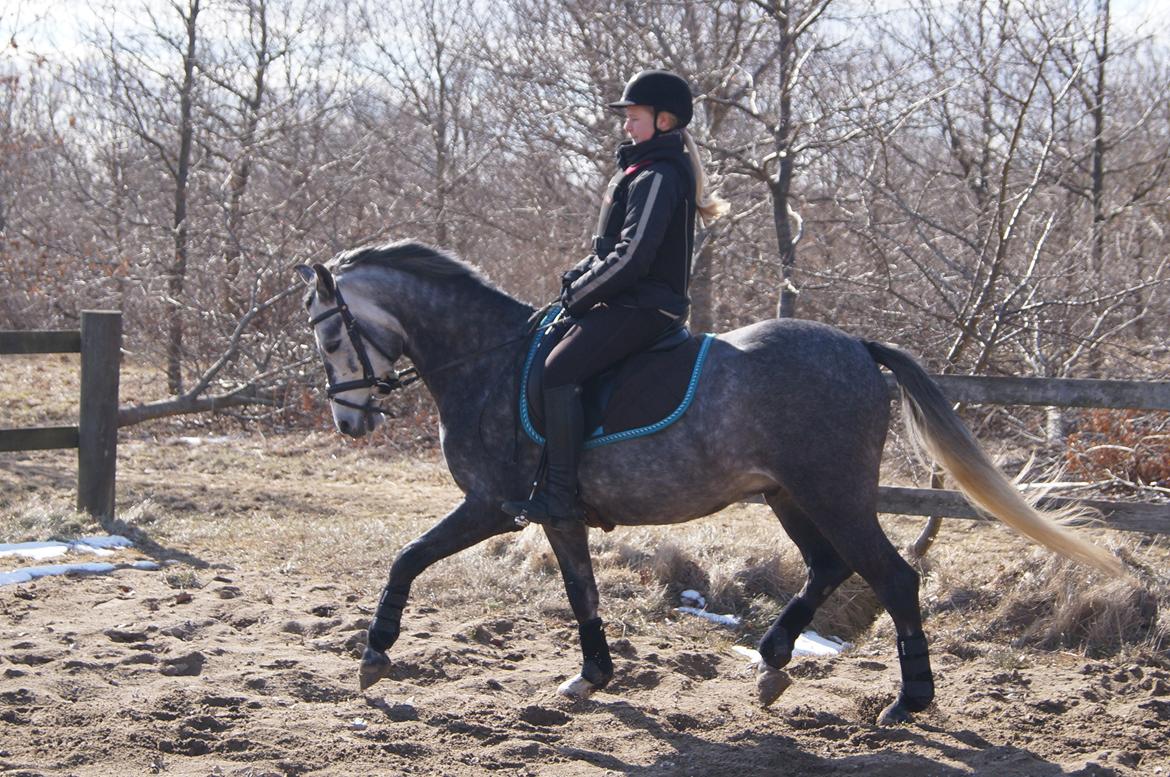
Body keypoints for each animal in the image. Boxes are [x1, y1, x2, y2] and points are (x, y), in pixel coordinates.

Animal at [294, 239, 1123, 725]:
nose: (350, 421)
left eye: (328, 332)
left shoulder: (492, 505)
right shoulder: (556, 515)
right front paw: (591, 677)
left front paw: (375, 655)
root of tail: (857, 346)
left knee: (891, 576)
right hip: (791, 496)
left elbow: (407, 557)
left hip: (833, 494)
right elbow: (581, 591)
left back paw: (906, 700)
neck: (485, 359)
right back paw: (773, 663)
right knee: (829, 566)